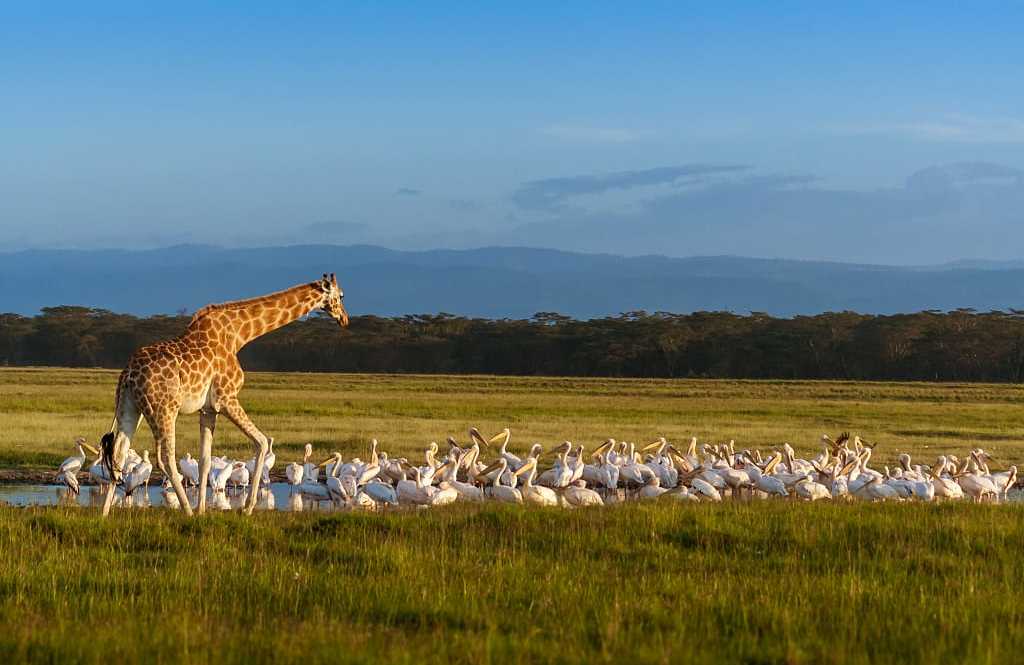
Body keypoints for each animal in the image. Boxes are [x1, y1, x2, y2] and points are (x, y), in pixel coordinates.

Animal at [99, 274, 348, 516]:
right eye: (341, 295)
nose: (344, 319)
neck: (239, 334)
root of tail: (128, 373)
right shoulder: (226, 398)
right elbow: (261, 442)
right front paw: (246, 508)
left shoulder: (208, 409)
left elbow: (205, 460)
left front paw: (202, 510)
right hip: (164, 409)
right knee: (165, 458)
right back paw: (186, 510)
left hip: (130, 407)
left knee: (119, 453)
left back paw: (104, 513)